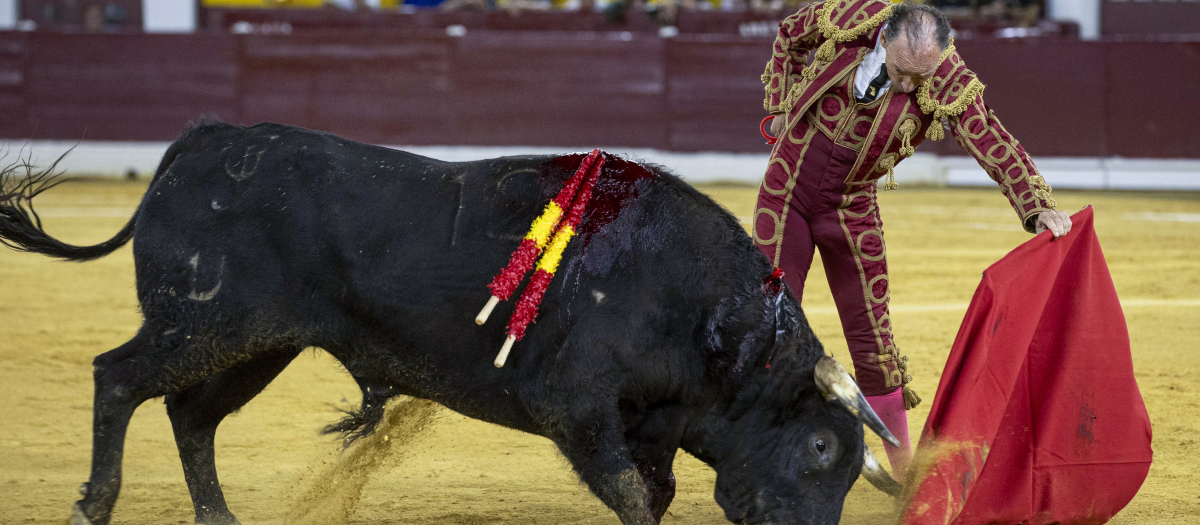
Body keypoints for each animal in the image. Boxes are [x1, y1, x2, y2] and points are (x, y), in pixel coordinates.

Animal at [0, 122, 902, 525]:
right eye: (821, 448)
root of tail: (202, 140)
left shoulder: (646, 424)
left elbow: (655, 488)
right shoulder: (574, 405)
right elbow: (631, 494)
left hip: (258, 343)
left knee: (190, 413)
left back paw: (218, 518)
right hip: (201, 324)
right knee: (118, 377)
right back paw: (93, 504)